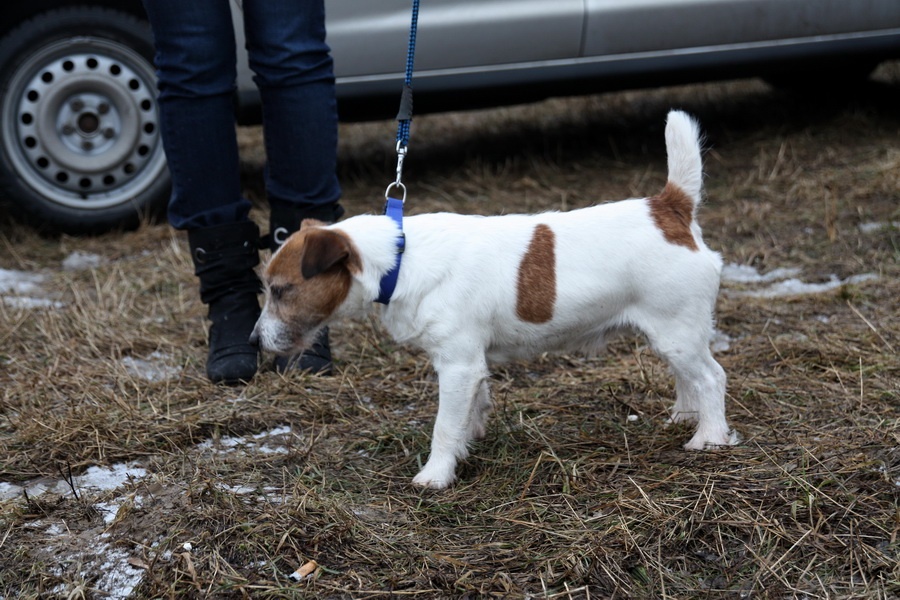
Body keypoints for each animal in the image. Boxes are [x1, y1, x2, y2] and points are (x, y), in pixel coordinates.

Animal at [250, 110, 736, 490]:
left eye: (281, 290)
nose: (254, 342)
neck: (400, 258)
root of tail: (669, 209)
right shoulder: (469, 363)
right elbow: (473, 408)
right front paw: (468, 443)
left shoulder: (457, 364)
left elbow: (445, 425)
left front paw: (435, 475)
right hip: (673, 333)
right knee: (689, 377)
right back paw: (685, 416)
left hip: (676, 330)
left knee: (711, 377)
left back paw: (709, 438)